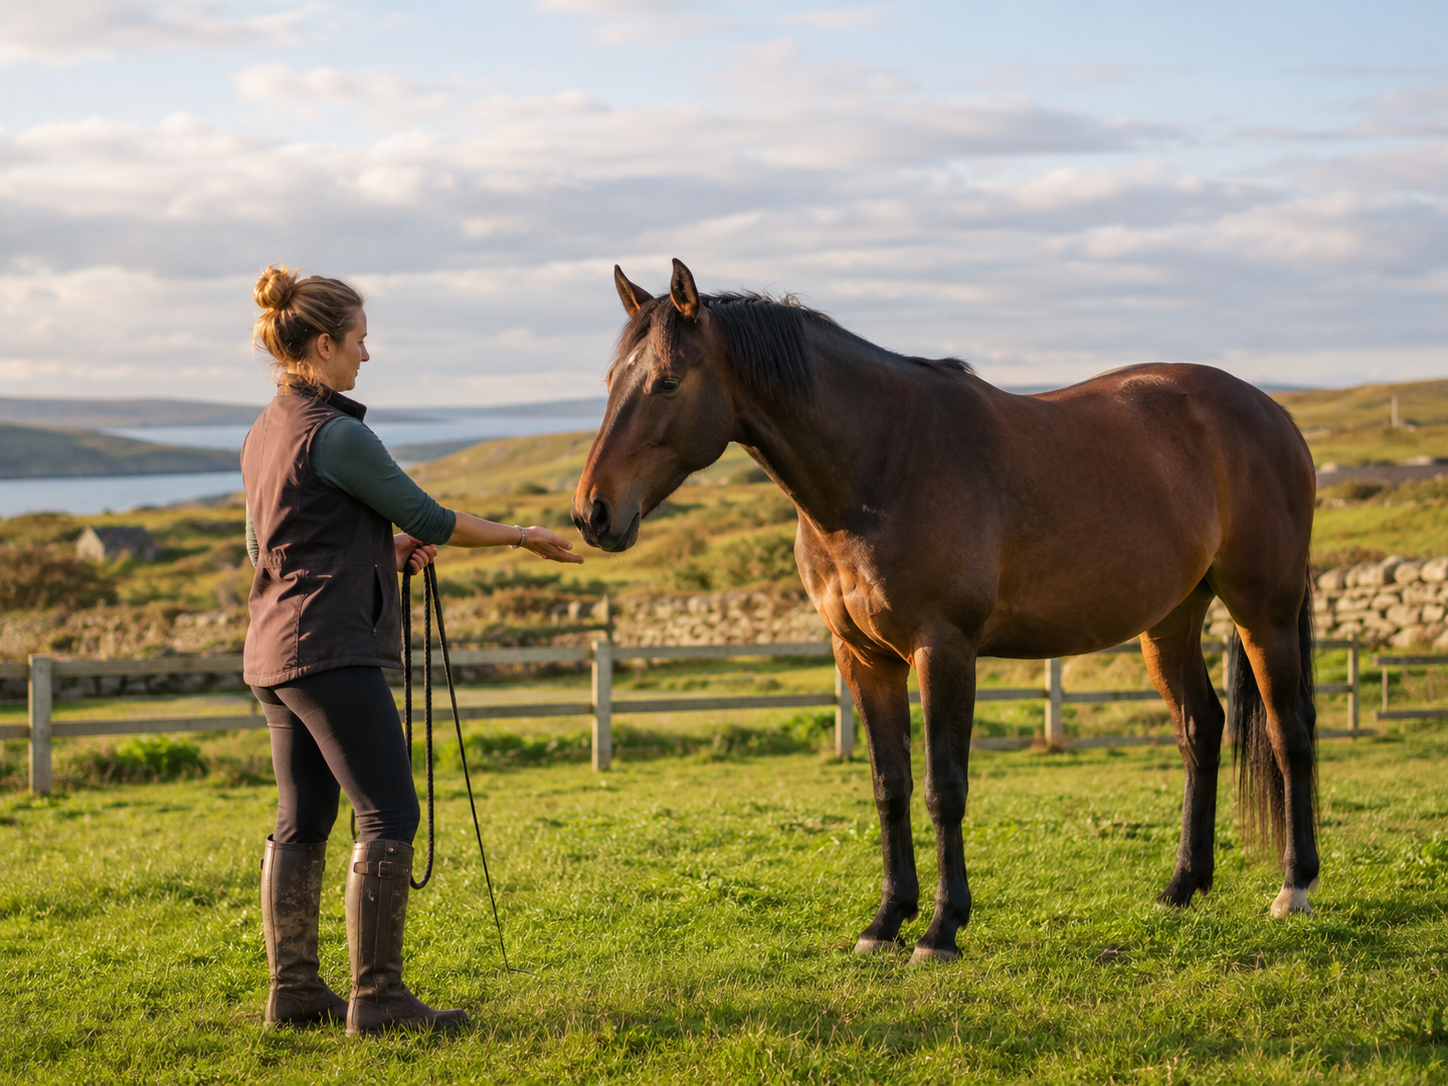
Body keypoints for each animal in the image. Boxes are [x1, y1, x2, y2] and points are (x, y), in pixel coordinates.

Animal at [572, 259, 1319, 963]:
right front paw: (885, 921)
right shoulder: (863, 658)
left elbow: (943, 788)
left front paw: (940, 928)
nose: (592, 513)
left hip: (1263, 612)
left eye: (668, 382)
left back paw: (1295, 887)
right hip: (1169, 621)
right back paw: (1182, 887)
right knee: (1200, 728)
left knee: (1291, 732)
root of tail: (1272, 413)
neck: (879, 465)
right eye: (609, 380)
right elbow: (890, 785)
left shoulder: (944, 649)